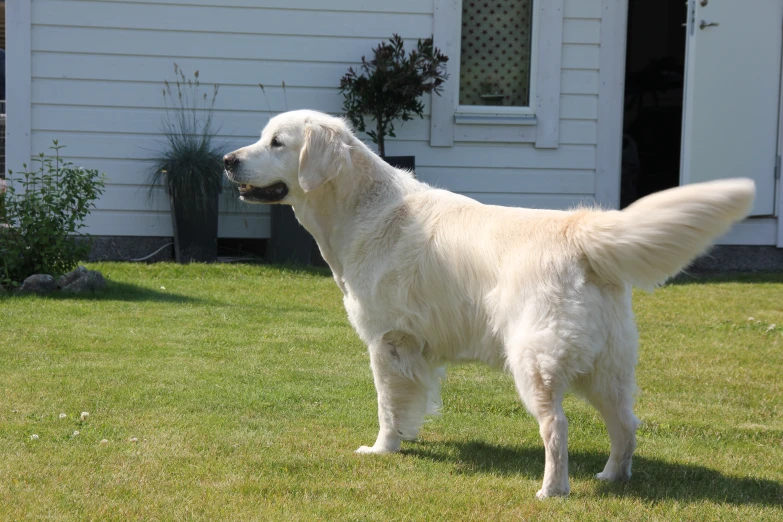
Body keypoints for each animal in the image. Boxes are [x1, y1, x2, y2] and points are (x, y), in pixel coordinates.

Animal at [224, 108, 756, 496]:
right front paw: (408, 439)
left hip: (534, 360)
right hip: (607, 367)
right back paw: (611, 478)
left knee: (557, 428)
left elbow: (387, 405)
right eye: (263, 137)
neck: (361, 207)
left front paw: (383, 449)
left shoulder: (387, 339)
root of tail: (578, 232)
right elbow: (410, 402)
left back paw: (552, 491)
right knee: (626, 424)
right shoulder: (414, 348)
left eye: (278, 142)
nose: (228, 160)